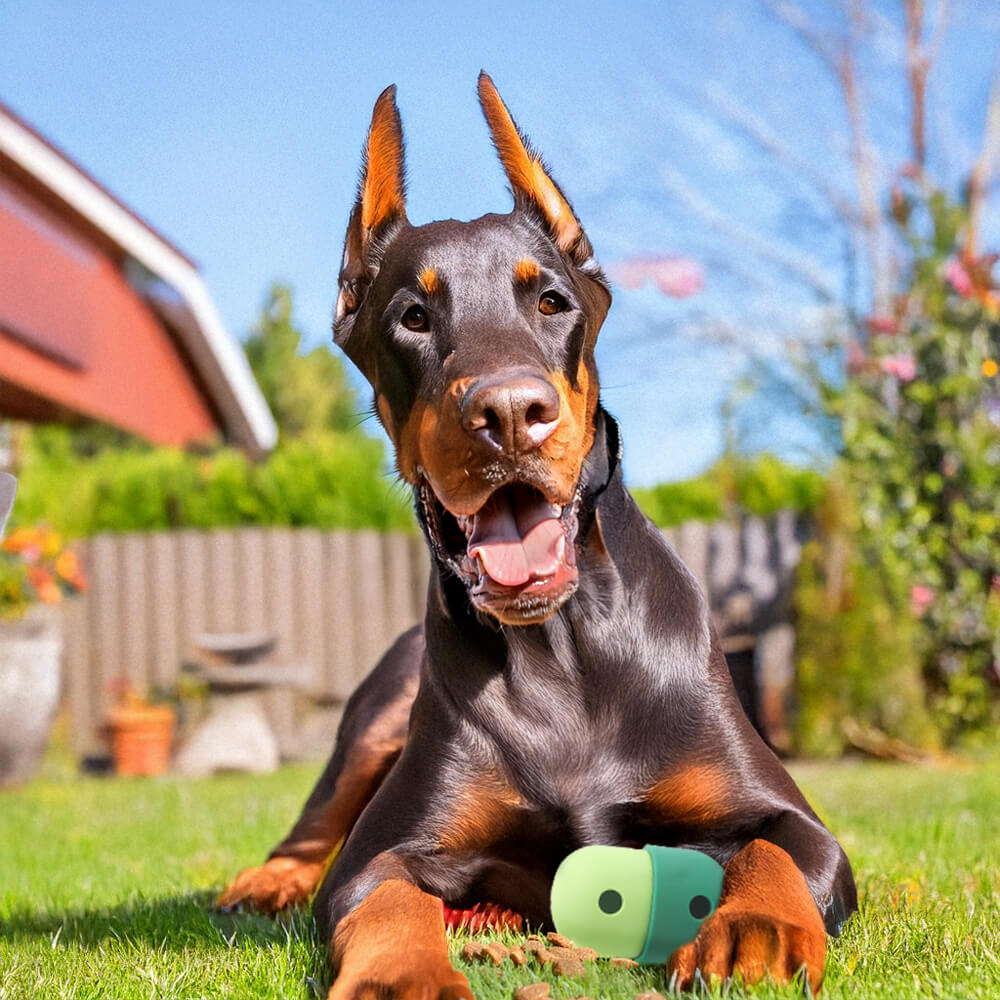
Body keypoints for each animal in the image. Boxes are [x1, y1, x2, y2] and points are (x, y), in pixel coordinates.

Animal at [221, 74, 860, 996]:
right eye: (413, 316)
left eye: (552, 300)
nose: (510, 414)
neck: (561, 650)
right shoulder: (382, 853)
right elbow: (384, 895)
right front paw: (404, 974)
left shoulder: (790, 816)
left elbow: (773, 848)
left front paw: (757, 930)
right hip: (376, 714)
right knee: (312, 827)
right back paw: (265, 881)